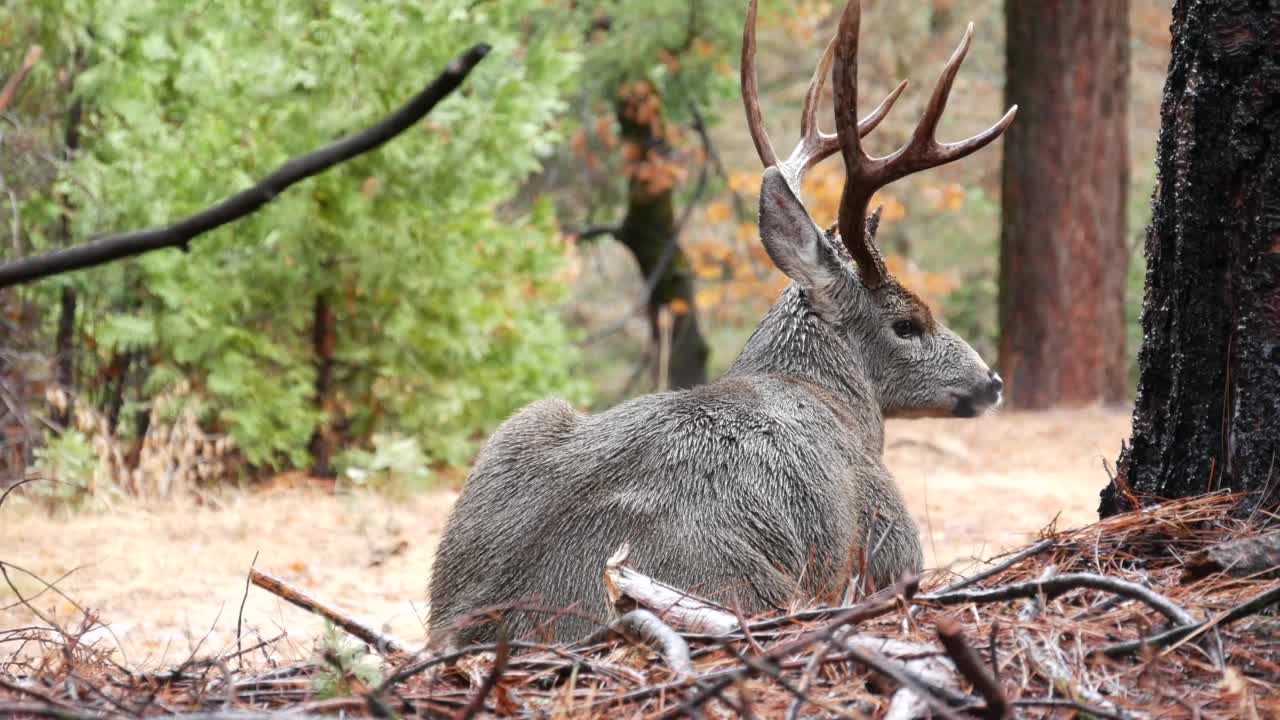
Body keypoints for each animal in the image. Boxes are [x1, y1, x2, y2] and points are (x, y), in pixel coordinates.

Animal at [424, 0, 1013, 645]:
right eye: (909, 323)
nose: (992, 382)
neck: (833, 400)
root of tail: (488, 625)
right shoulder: (885, 529)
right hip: (746, 587)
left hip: (523, 425)